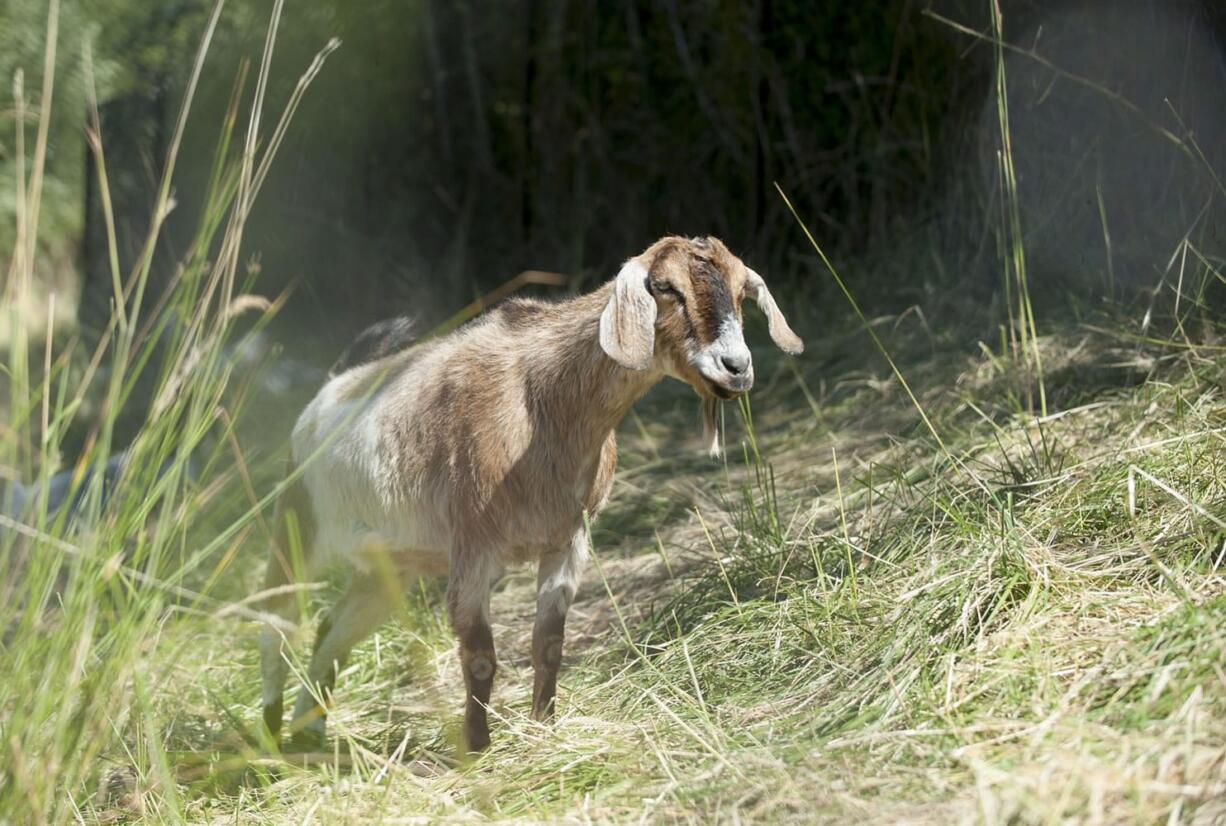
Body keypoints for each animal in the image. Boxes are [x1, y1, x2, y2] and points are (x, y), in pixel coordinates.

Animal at [256, 235, 804, 750]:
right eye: (665, 287)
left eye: (741, 289)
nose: (735, 367)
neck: (541, 401)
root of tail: (329, 389)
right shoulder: (473, 546)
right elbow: (480, 655)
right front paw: (478, 748)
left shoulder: (567, 541)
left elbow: (549, 644)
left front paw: (544, 729)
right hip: (296, 525)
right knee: (275, 619)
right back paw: (269, 732)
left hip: (389, 567)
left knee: (331, 629)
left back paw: (309, 734)